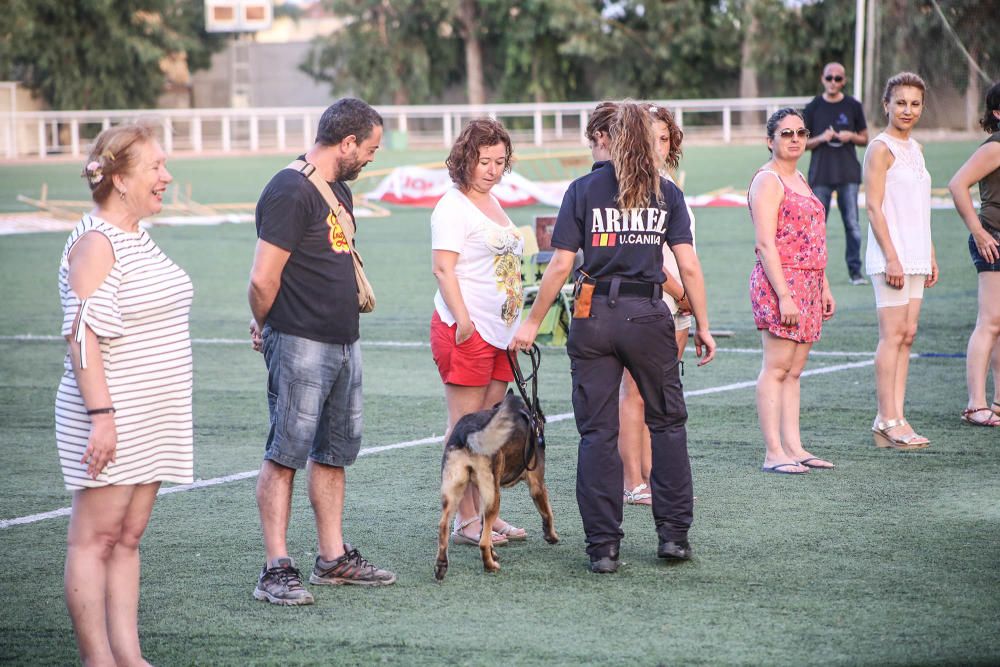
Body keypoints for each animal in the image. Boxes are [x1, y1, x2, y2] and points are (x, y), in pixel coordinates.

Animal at [434, 392, 560, 580]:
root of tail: (467, 433)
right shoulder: (537, 485)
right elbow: (548, 513)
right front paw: (551, 536)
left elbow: (482, 526)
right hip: (495, 498)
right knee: (483, 542)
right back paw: (490, 566)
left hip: (454, 492)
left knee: (444, 528)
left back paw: (441, 566)